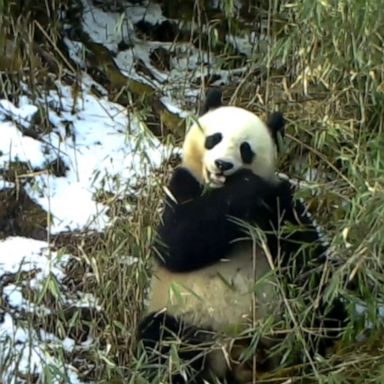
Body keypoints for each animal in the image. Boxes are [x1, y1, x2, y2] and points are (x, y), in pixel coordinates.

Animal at [137, 91, 344, 384]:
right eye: (214, 138)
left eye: (245, 149)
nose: (223, 165)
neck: (219, 190)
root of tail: (239, 352)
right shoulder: (182, 186)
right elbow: (175, 245)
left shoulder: (279, 203)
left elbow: (304, 254)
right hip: (190, 318)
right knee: (164, 338)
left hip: (279, 313)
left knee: (321, 306)